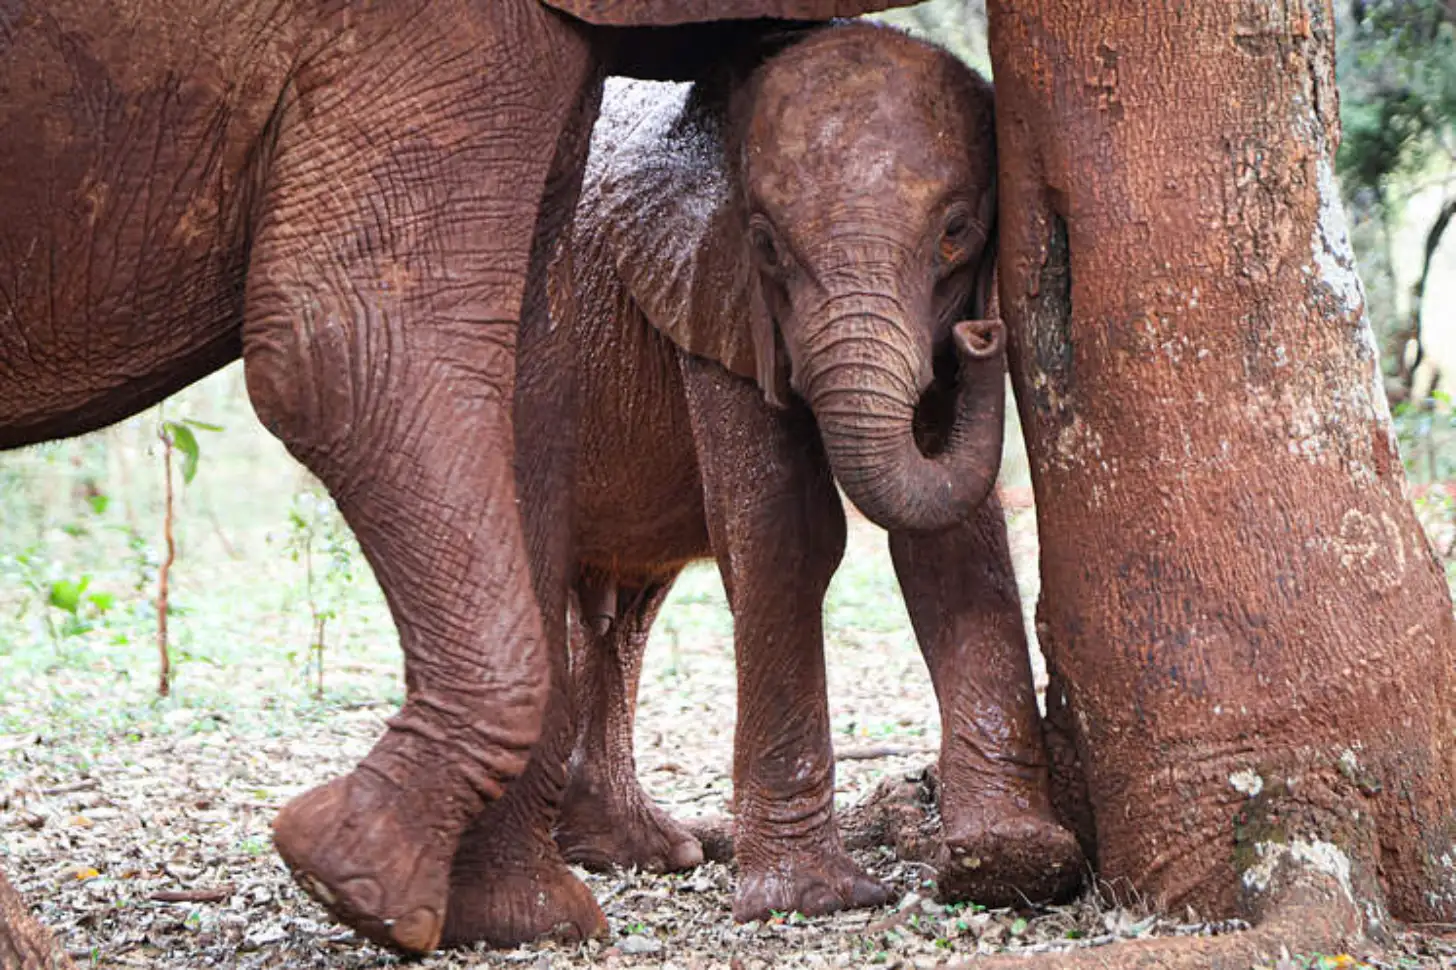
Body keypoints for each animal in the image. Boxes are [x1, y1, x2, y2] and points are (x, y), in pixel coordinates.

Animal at [0, 0, 924, 955]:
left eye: (958, 238)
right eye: (772, 250)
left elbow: (526, 375)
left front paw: (502, 916)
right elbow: (350, 349)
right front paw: (361, 883)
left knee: (629, 602)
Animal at [510, 22, 1085, 924]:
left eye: (958, 232)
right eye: (767, 245)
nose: (982, 336)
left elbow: (948, 542)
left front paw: (1008, 863)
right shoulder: (710, 298)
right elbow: (788, 532)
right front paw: (812, 899)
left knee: (626, 608)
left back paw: (645, 851)